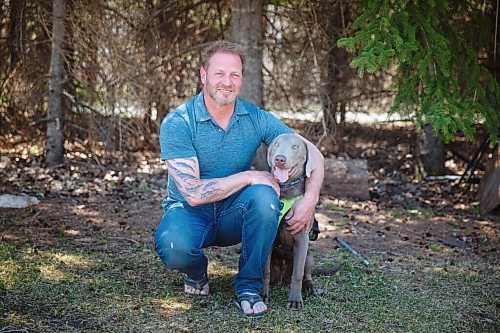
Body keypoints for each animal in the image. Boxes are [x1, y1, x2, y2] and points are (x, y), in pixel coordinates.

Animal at [264, 133, 318, 308]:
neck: (286, 189)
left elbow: (298, 274)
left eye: (295, 147)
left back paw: (310, 287)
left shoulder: (302, 238)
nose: (280, 159)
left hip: (309, 256)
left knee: (306, 274)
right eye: (276, 144)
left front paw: (294, 300)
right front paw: (262, 294)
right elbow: (265, 271)